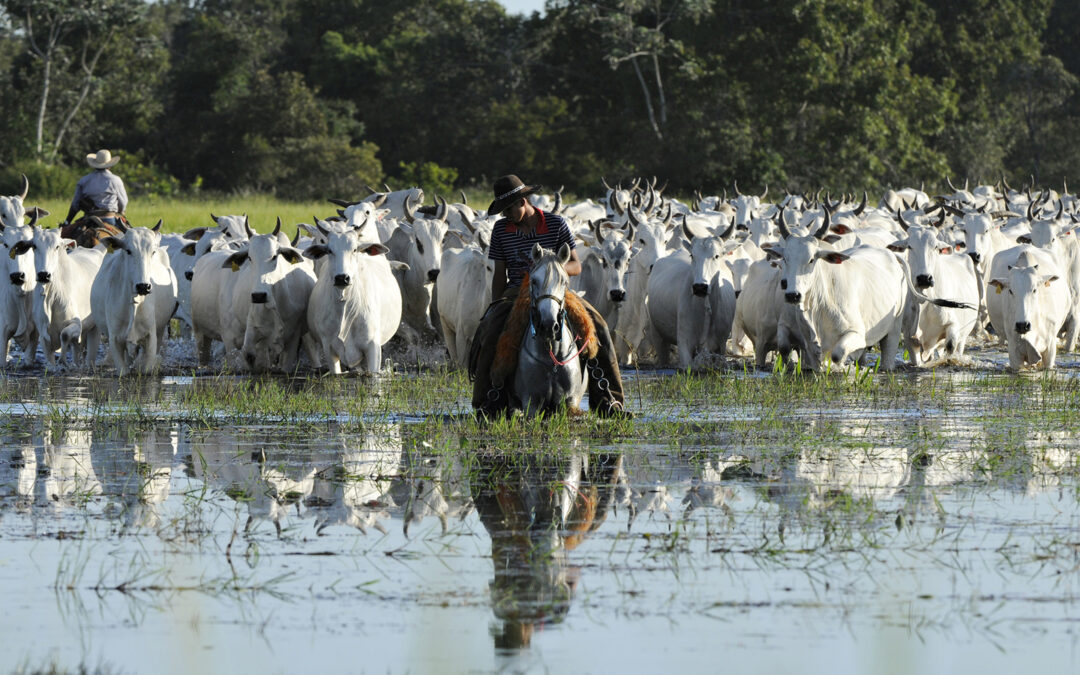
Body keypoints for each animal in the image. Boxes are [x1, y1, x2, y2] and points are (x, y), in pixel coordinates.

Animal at [85, 224, 177, 373]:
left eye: (153, 252)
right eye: (128, 251)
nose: (143, 286)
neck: (135, 303)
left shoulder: (151, 337)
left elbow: (147, 368)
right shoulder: (115, 339)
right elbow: (123, 371)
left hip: (161, 329)